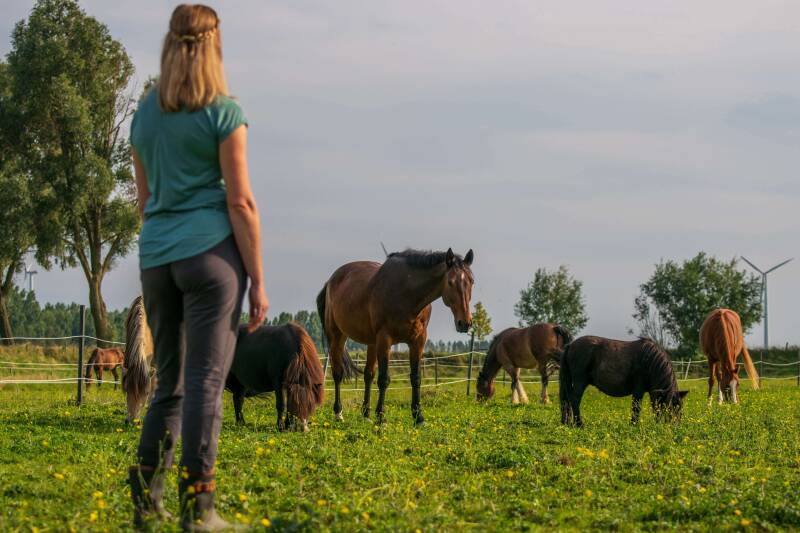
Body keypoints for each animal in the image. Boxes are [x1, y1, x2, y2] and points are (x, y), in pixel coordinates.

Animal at [318, 248, 474, 425]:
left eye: (471, 281)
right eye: (451, 282)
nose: (465, 323)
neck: (407, 294)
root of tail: (331, 281)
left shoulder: (418, 341)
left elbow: (416, 378)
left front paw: (419, 417)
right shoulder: (385, 339)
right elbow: (384, 379)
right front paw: (381, 417)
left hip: (372, 343)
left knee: (368, 375)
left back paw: (366, 415)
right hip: (337, 336)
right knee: (338, 374)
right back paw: (339, 413)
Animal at [560, 336, 688, 427]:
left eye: (679, 408)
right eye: (668, 407)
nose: (674, 427)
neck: (649, 360)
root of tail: (570, 345)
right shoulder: (638, 390)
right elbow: (636, 407)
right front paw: (633, 424)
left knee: (567, 400)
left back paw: (568, 423)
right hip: (580, 382)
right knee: (574, 400)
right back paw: (579, 424)